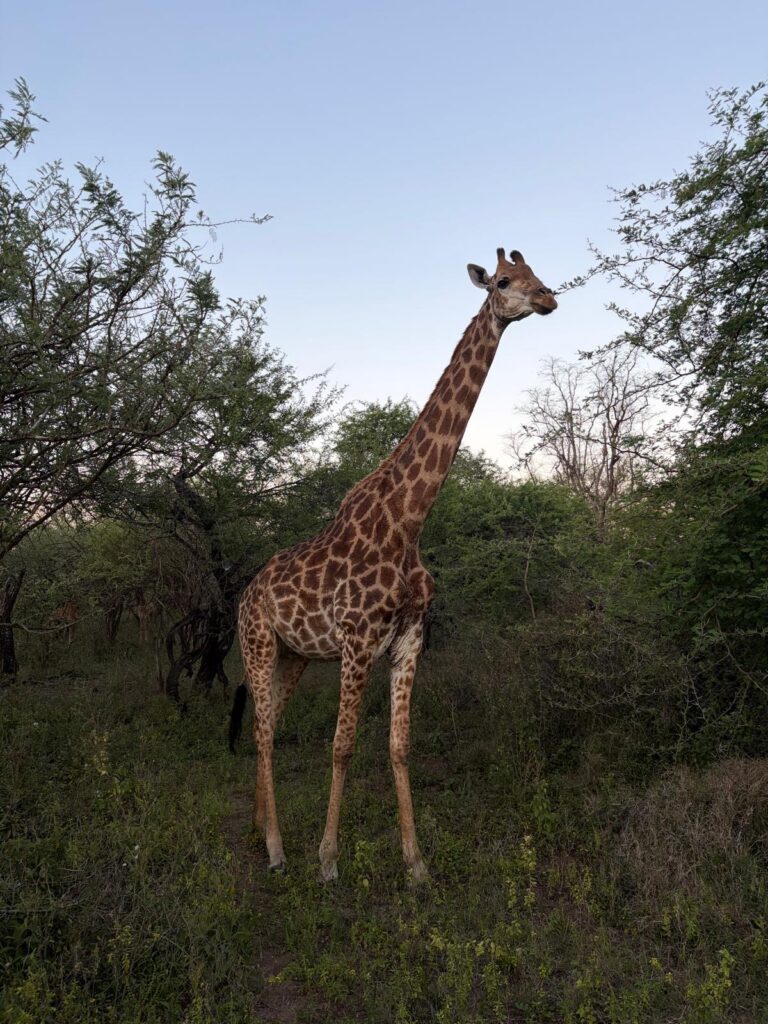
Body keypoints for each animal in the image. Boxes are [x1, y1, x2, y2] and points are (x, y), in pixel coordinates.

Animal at [231, 248, 557, 881]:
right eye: (506, 281)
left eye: (539, 274)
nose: (549, 299)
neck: (408, 523)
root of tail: (244, 594)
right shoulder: (358, 643)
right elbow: (342, 747)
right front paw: (328, 861)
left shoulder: (408, 642)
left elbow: (399, 748)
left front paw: (416, 864)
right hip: (256, 644)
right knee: (261, 731)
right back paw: (278, 849)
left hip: (294, 654)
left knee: (268, 724)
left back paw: (260, 828)